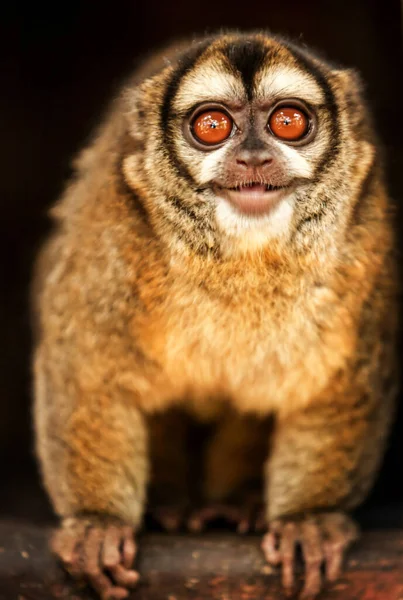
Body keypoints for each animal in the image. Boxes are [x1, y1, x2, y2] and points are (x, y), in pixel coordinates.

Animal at [33, 32, 400, 600]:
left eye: (288, 121)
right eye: (212, 126)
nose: (252, 158)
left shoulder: (366, 240)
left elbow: (338, 384)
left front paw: (309, 521)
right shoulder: (109, 228)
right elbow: (88, 370)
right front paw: (96, 524)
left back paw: (239, 503)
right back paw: (169, 504)